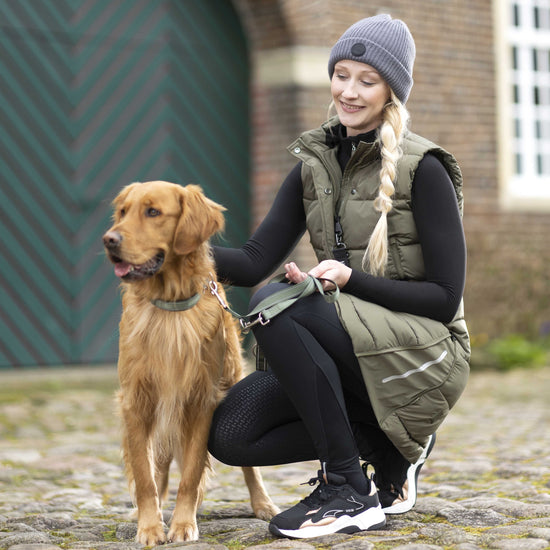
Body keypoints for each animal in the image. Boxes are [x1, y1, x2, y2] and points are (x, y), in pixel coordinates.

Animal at [103, 182, 278, 548]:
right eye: (123, 212)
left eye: (153, 212)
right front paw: (150, 526)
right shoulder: (137, 401)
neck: (169, 308)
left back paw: (261, 504)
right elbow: (145, 475)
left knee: (246, 467)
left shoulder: (201, 401)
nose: (109, 240)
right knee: (159, 465)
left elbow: (193, 469)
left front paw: (183, 524)